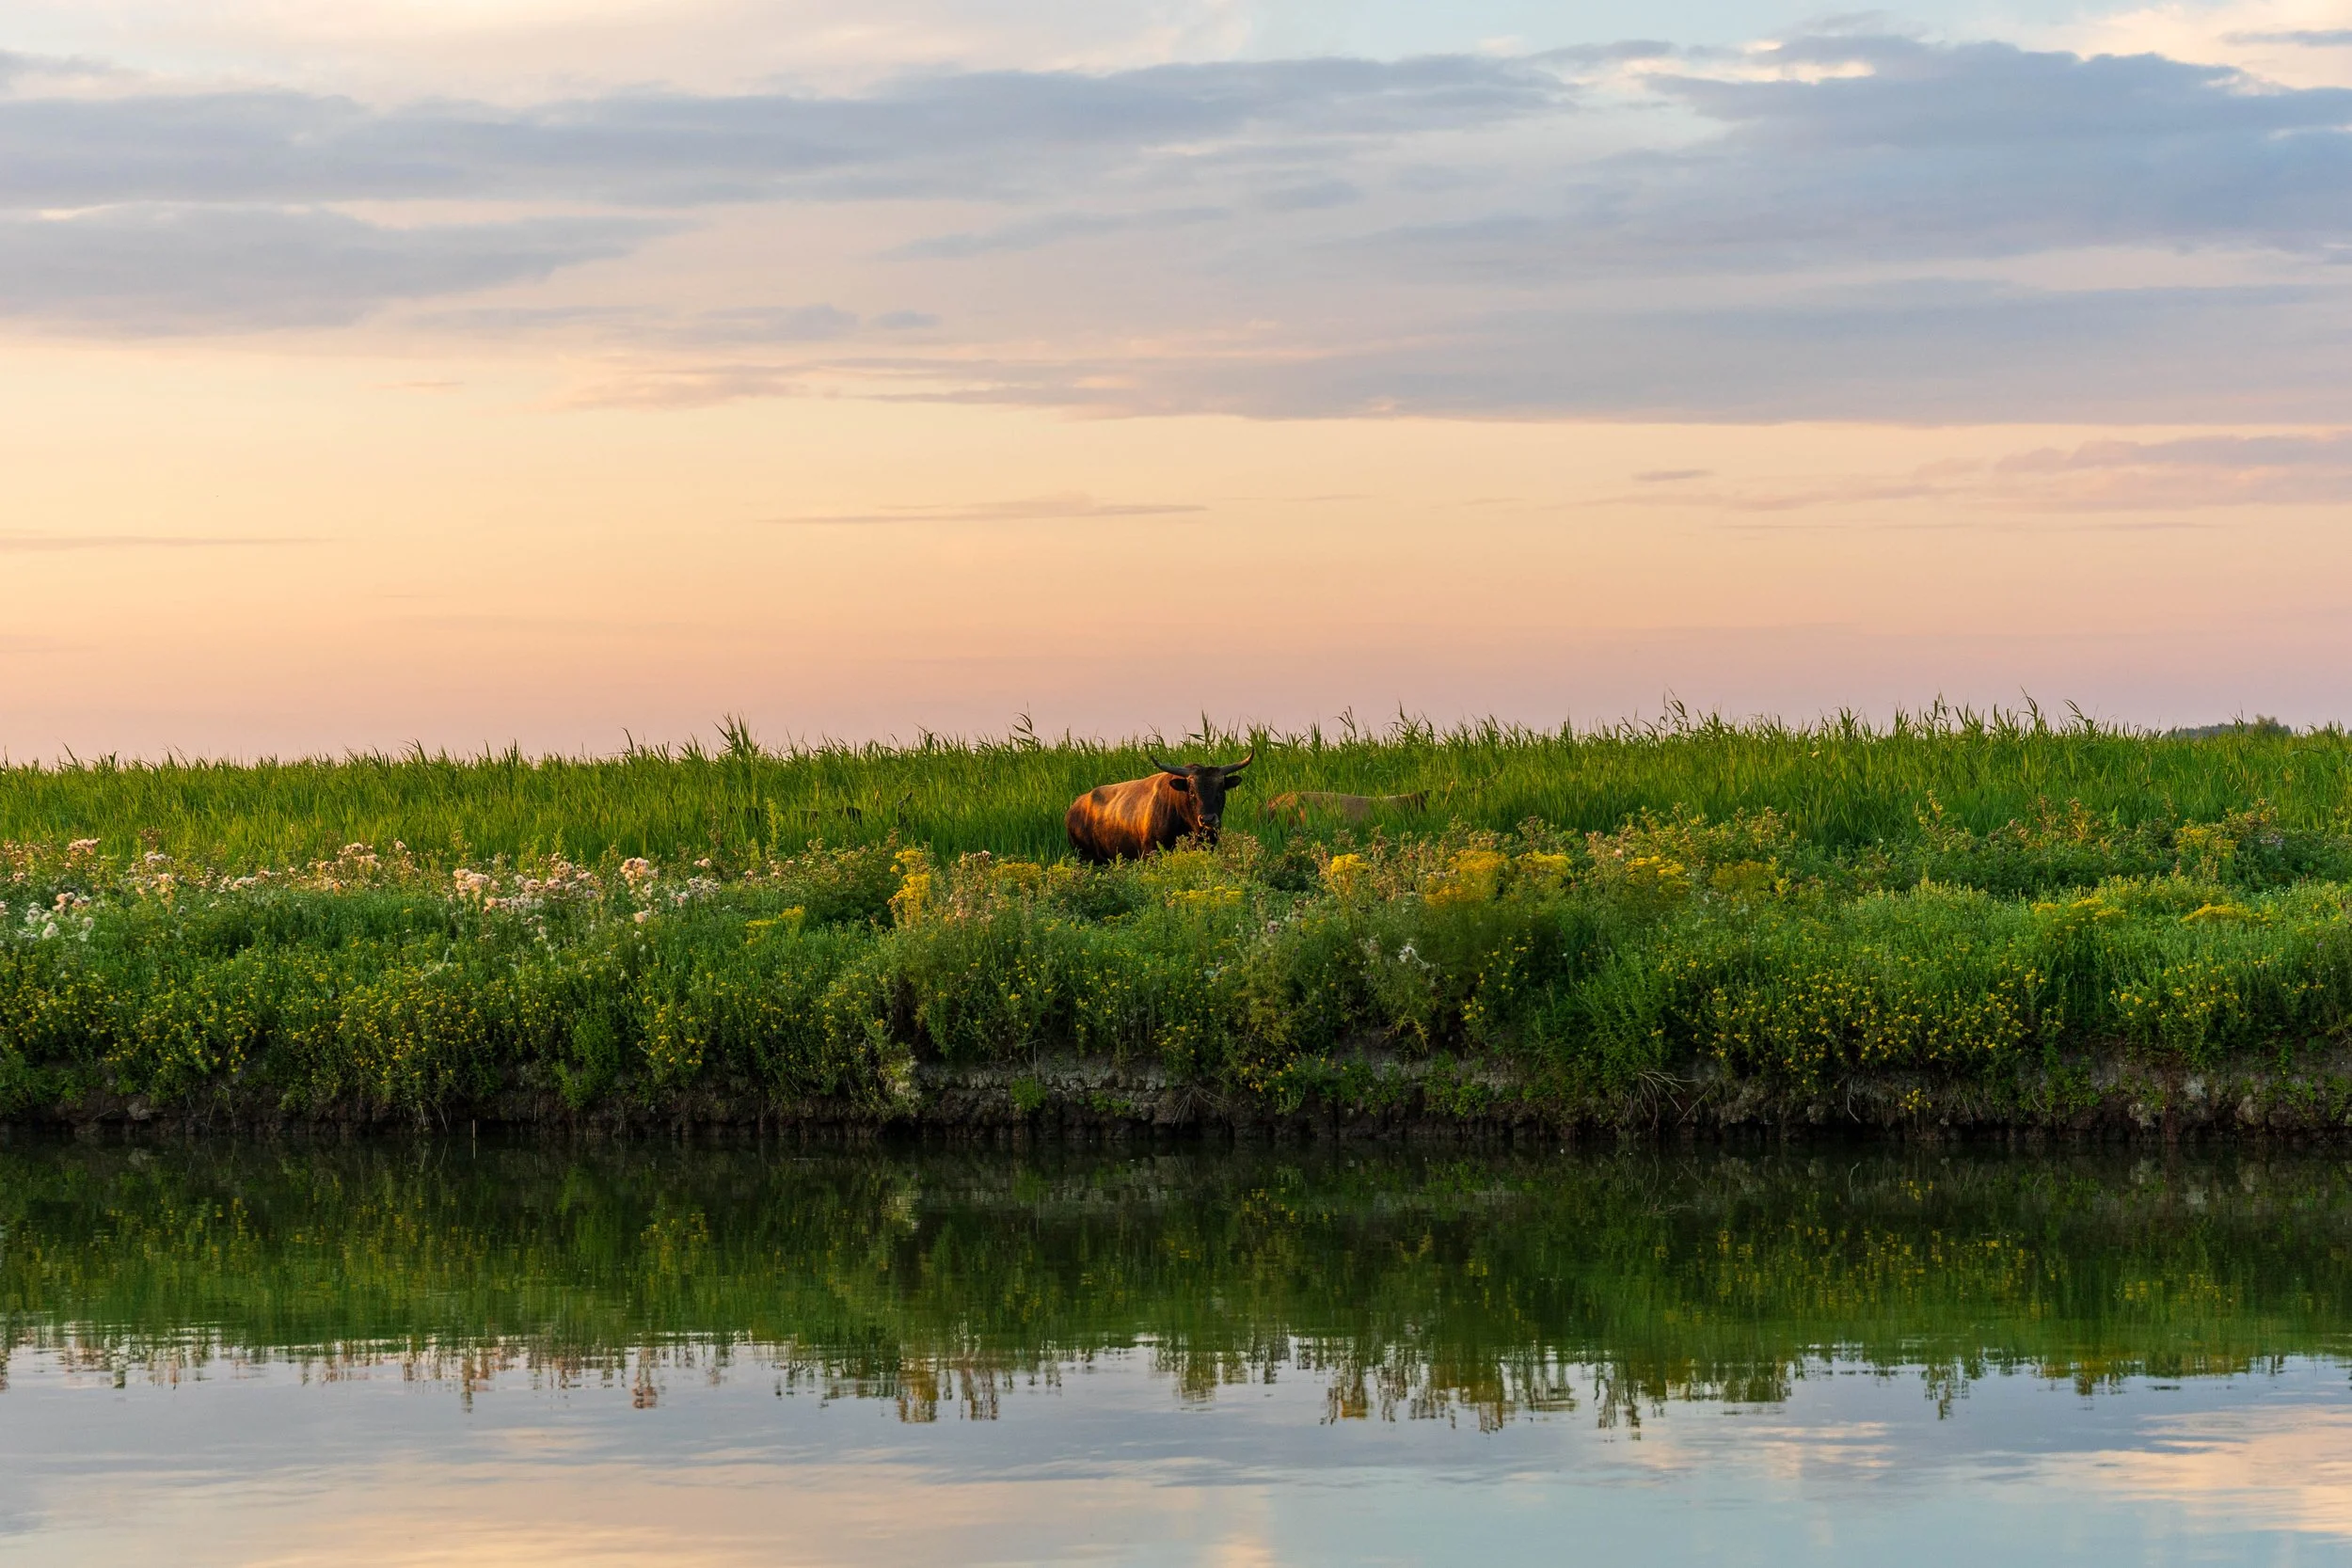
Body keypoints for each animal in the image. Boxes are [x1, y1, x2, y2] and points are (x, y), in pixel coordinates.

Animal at [1066, 752, 1254, 864]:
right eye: (1192, 792)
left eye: (1220, 789)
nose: (1207, 819)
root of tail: (1074, 806)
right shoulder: (1151, 852)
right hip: (1085, 856)